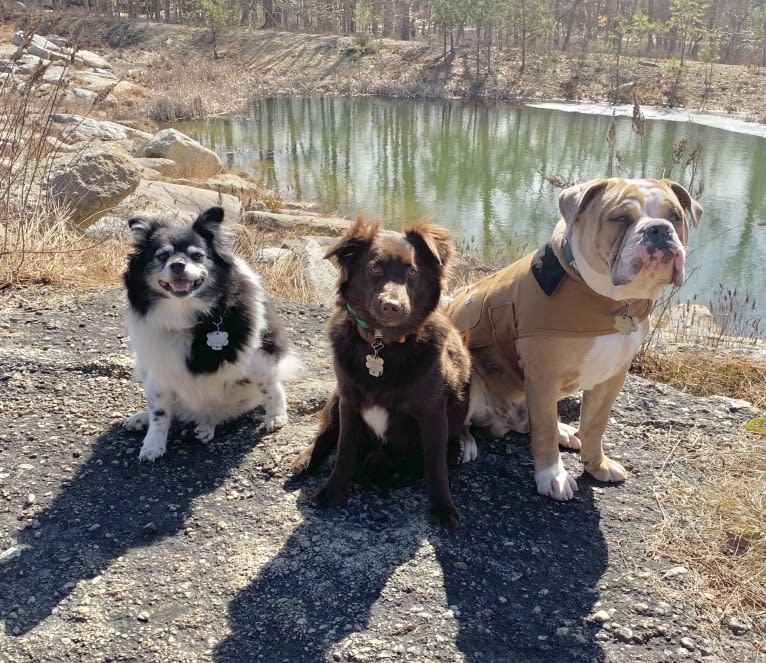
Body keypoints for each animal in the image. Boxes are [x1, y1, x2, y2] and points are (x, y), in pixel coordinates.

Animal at [123, 208, 300, 462]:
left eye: (197, 256)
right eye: (162, 256)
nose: (178, 265)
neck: (186, 314)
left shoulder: (257, 359)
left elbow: (270, 390)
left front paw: (276, 417)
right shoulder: (160, 369)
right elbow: (160, 412)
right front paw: (153, 445)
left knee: (228, 405)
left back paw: (206, 425)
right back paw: (143, 419)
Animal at [294, 217, 474, 528]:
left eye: (412, 272)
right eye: (374, 268)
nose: (393, 306)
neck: (381, 345)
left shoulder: (432, 413)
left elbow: (435, 465)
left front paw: (443, 507)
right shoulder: (349, 402)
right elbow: (343, 451)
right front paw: (331, 491)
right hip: (335, 397)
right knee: (326, 433)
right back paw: (307, 459)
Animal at [450, 179, 708, 500]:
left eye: (675, 216)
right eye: (620, 218)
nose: (659, 229)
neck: (610, 302)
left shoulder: (611, 378)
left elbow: (595, 425)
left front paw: (597, 465)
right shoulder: (543, 375)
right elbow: (545, 431)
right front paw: (552, 475)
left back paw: (564, 431)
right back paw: (467, 444)